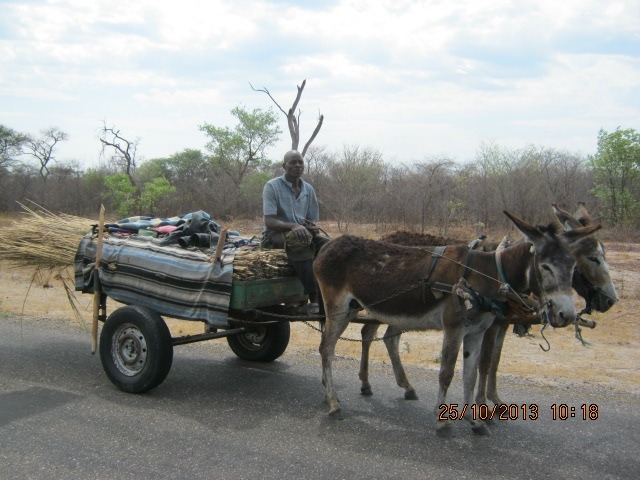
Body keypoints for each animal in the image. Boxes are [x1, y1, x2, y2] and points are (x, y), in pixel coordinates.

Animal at [314, 211, 601, 435]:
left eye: (572, 266)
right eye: (546, 267)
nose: (567, 315)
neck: (487, 275)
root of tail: (327, 245)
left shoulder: (477, 332)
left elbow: (471, 374)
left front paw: (475, 421)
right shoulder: (454, 327)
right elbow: (447, 372)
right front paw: (442, 423)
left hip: (353, 308)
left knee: (342, 343)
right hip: (338, 307)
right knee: (327, 349)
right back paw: (334, 404)